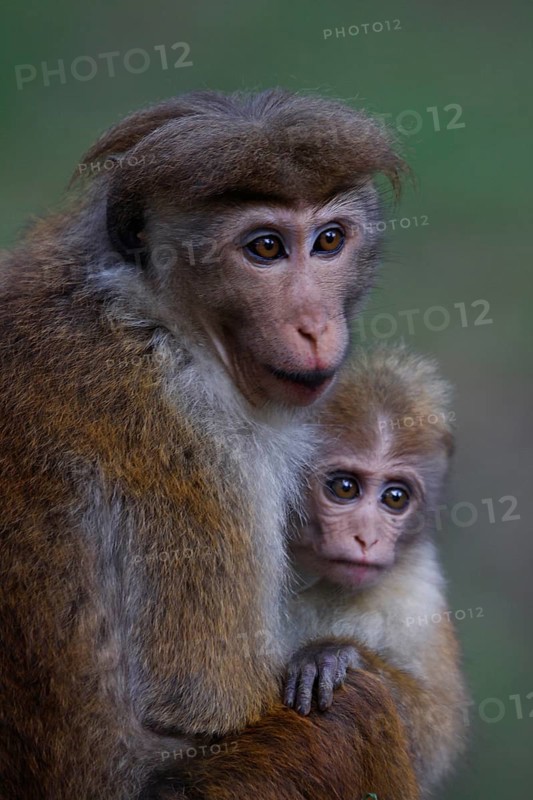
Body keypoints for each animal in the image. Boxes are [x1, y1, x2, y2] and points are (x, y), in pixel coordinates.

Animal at [0, 89, 419, 800]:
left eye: (329, 240)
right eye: (266, 247)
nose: (314, 326)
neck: (156, 315)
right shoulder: (199, 444)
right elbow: (203, 702)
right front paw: (327, 661)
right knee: (355, 709)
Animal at [283, 344, 469, 798]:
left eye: (395, 497)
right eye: (345, 488)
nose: (367, 538)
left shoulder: (416, 592)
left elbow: (435, 741)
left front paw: (336, 657)